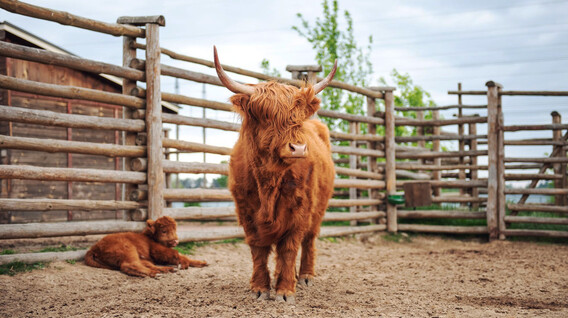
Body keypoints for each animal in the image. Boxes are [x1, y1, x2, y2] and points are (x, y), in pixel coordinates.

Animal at [214, 46, 338, 304]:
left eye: (299, 116)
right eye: (267, 115)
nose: (298, 148)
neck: (268, 181)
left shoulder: (300, 211)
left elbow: (289, 248)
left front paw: (285, 291)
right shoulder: (246, 212)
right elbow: (258, 250)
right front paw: (260, 288)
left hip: (319, 208)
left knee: (309, 240)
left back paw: (305, 277)